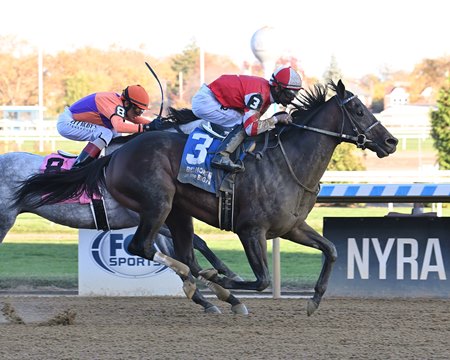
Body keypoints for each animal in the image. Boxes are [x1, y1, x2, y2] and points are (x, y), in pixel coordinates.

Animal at [12, 79, 398, 316]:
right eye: (359, 110)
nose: (391, 141)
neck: (286, 162)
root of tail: (114, 155)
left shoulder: (290, 228)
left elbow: (330, 250)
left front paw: (314, 300)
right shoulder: (250, 230)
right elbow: (261, 279)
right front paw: (223, 282)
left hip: (177, 214)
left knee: (178, 251)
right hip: (158, 205)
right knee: (142, 247)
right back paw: (209, 286)